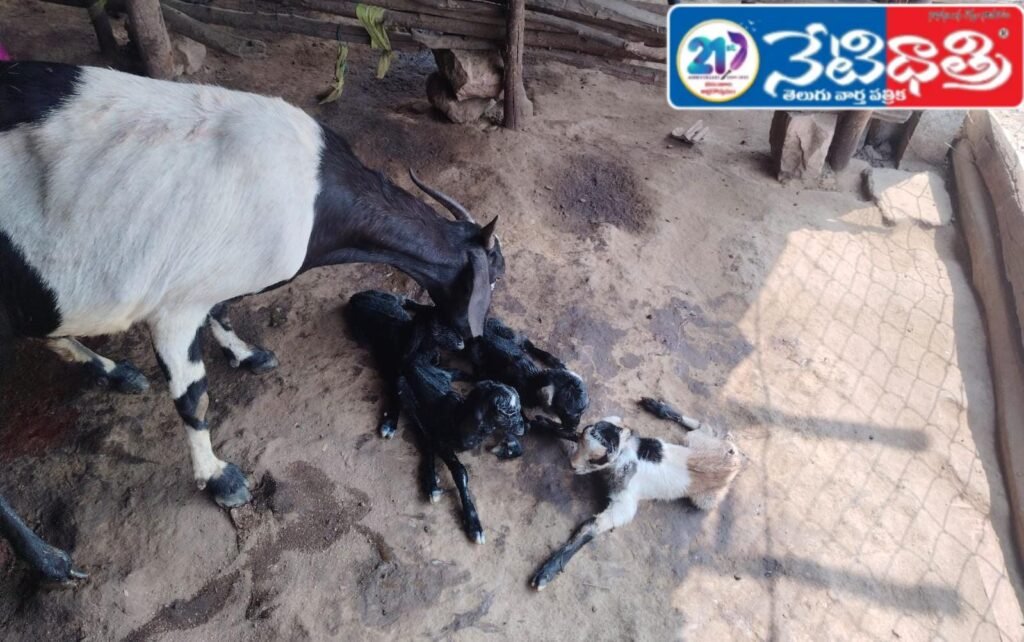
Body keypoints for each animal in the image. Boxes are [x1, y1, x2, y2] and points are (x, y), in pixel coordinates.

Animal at [0, 61, 504, 582]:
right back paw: (50, 561)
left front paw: (246, 354)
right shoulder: (175, 305)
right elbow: (193, 398)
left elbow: (222, 310)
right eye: (495, 276)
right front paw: (219, 479)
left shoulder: (213, 280)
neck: (314, 196)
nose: (466, 341)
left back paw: (114, 371)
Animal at [530, 398, 741, 590]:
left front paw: (547, 572)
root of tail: (734, 461)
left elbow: (589, 526)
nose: (572, 465)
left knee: (709, 429)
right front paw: (541, 423)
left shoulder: (625, 504)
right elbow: (571, 433)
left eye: (595, 459)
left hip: (705, 498)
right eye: (584, 438)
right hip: (695, 442)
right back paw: (657, 406)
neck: (624, 457)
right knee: (706, 428)